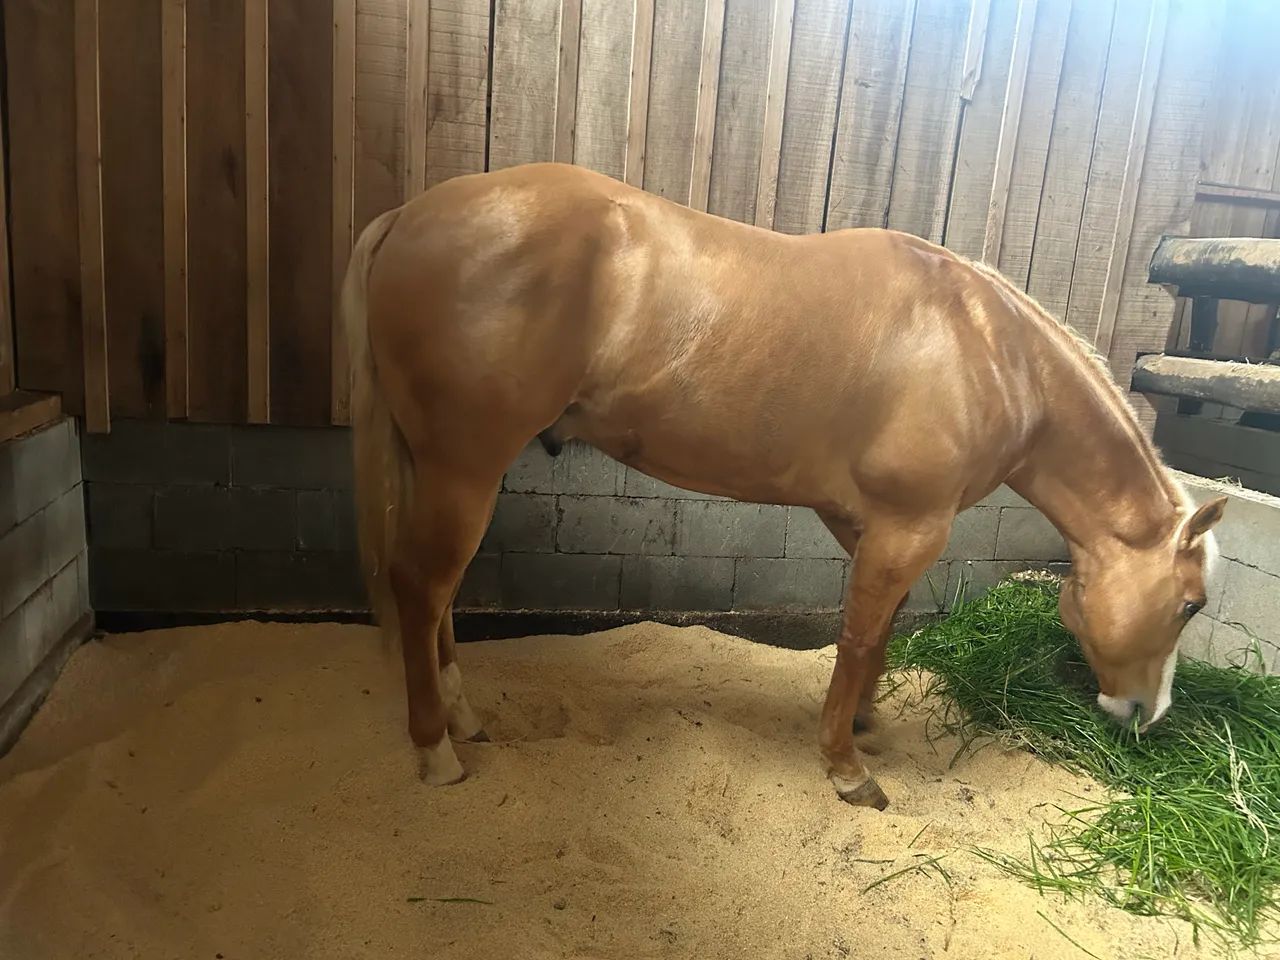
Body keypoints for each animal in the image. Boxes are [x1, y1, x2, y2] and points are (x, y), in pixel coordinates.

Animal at [341, 162, 1225, 810]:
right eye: (1190, 604)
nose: (1145, 716)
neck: (984, 349)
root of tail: (409, 216)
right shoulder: (909, 525)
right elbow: (860, 635)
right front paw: (846, 768)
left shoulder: (861, 521)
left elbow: (882, 630)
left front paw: (863, 723)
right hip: (466, 468)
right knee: (422, 588)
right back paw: (436, 749)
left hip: (444, 469)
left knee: (437, 597)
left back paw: (464, 718)